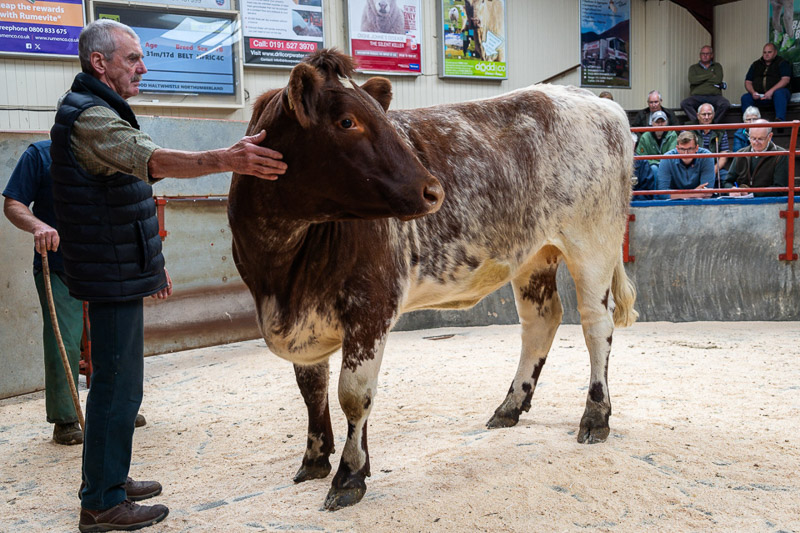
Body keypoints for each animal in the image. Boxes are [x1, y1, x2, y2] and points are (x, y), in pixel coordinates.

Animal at [230, 47, 636, 510]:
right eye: (347, 121)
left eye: (384, 118)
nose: (433, 191)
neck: (280, 271)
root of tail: (593, 99)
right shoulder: (302, 320)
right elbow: (311, 388)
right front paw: (315, 459)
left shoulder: (371, 307)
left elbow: (354, 394)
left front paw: (349, 475)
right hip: (533, 255)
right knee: (541, 321)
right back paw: (510, 406)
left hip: (593, 242)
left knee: (595, 326)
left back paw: (595, 416)